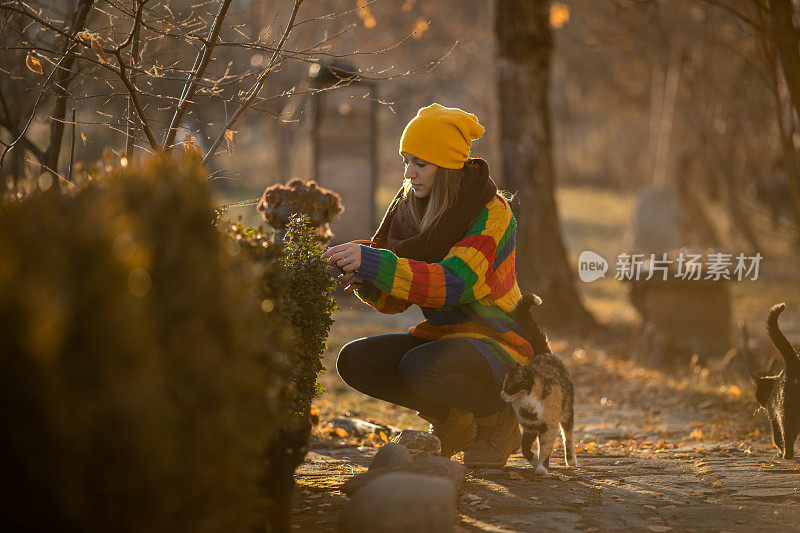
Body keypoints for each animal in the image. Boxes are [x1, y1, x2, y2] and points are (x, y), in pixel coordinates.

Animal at [752, 302, 796, 460]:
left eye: (756, 394)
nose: (759, 404)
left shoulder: (773, 415)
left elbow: (777, 437)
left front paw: (781, 451)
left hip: (786, 414)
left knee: (787, 434)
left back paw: (787, 455)